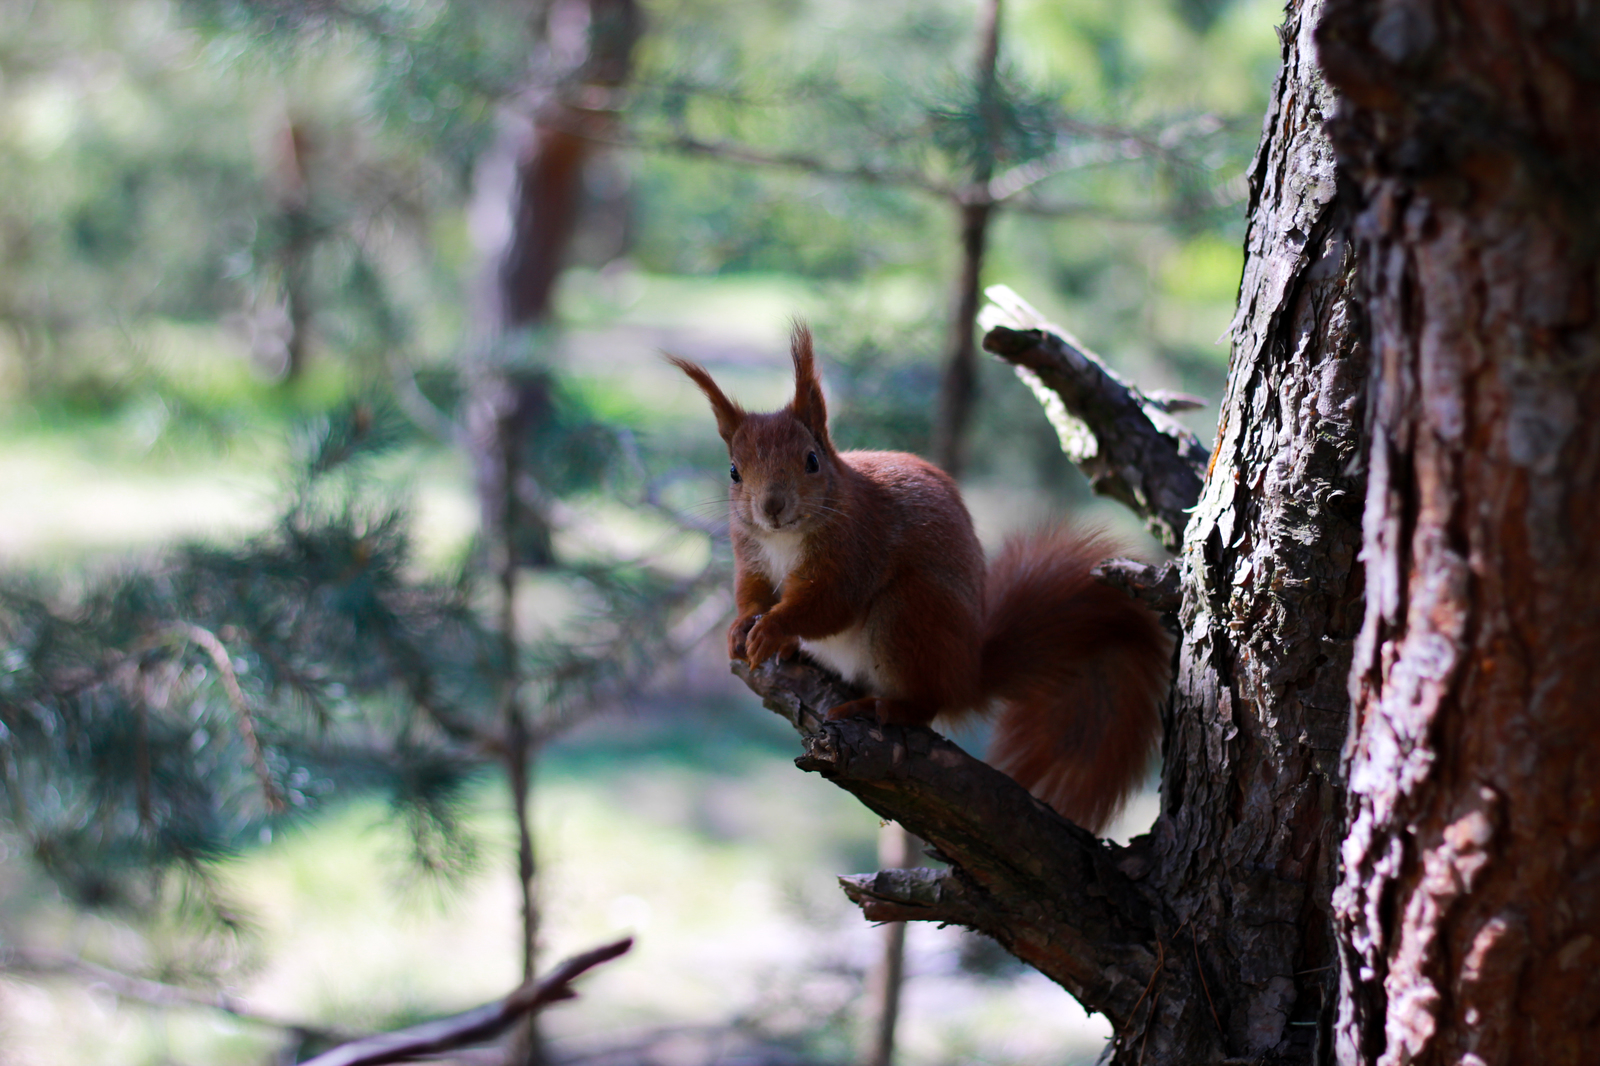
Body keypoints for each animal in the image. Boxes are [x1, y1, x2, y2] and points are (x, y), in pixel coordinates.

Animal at [668, 323, 1171, 832]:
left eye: (811, 460)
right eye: (734, 471)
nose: (771, 507)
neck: (784, 539)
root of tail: (968, 673)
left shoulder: (855, 550)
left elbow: (828, 605)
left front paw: (772, 628)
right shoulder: (750, 555)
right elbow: (751, 594)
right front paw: (740, 629)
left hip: (909, 613)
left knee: (925, 704)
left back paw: (880, 706)